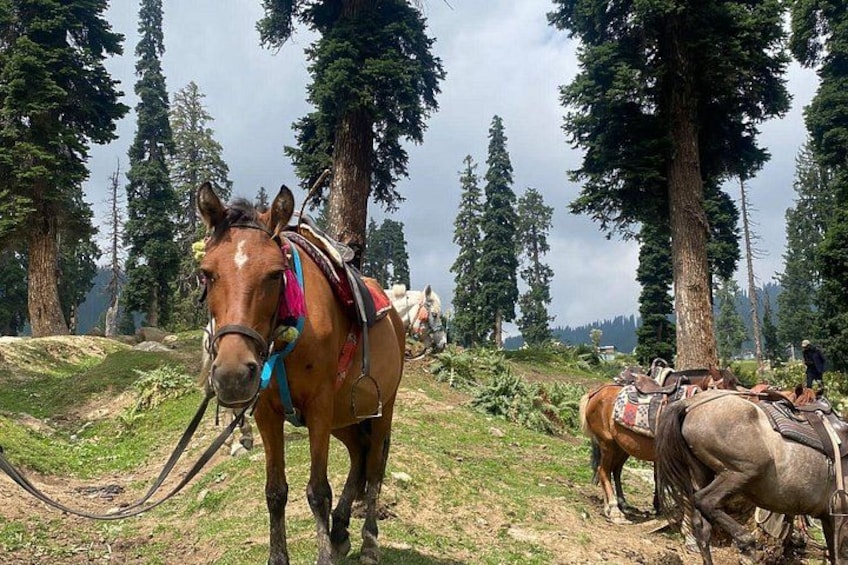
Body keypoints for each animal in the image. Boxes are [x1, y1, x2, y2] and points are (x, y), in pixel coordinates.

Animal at [197, 182, 405, 565]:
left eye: (274, 274)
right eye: (207, 272)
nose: (234, 374)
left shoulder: (319, 407)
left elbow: (318, 490)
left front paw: (326, 552)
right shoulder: (268, 413)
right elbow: (275, 491)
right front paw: (279, 556)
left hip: (380, 409)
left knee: (373, 469)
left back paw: (369, 541)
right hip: (345, 417)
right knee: (359, 453)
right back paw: (340, 530)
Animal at [579, 365, 738, 523]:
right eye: (718, 388)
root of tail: (595, 393)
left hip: (622, 447)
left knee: (614, 470)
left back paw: (615, 506)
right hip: (607, 443)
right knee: (603, 471)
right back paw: (614, 511)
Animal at [656, 388, 846, 565]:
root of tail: (689, 404)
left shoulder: (830, 519)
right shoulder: (839, 518)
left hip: (703, 474)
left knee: (702, 528)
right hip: (740, 471)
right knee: (705, 501)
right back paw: (746, 541)